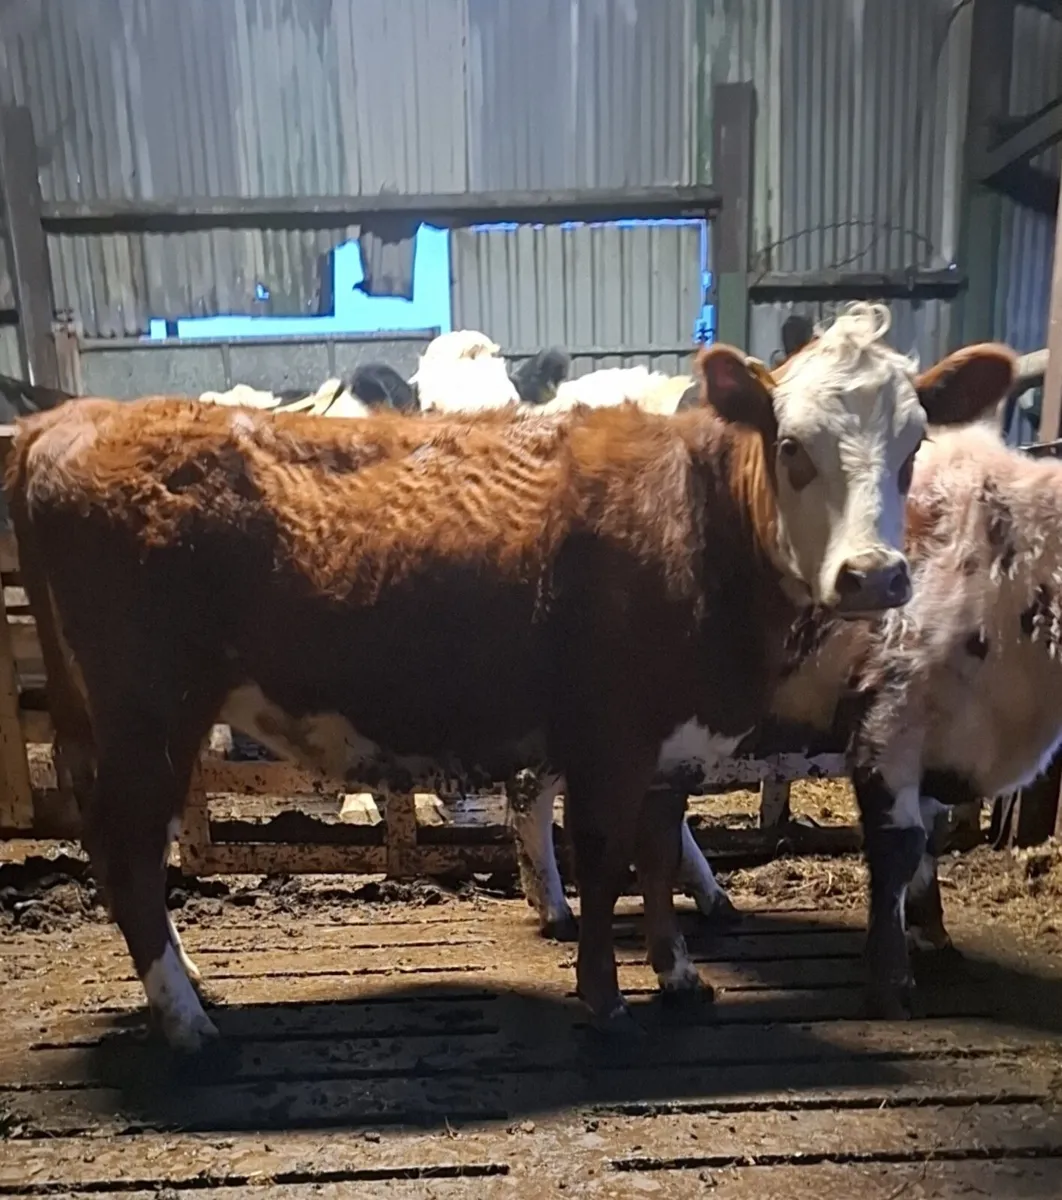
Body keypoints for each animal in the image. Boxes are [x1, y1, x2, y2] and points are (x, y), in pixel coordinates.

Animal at [6, 305, 1011, 1053]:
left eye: (915, 446)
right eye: (794, 445)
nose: (874, 576)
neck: (696, 523)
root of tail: (73, 417)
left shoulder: (672, 737)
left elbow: (657, 851)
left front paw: (679, 974)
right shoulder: (614, 731)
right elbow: (603, 859)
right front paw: (606, 998)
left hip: (102, 719)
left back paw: (188, 988)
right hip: (150, 714)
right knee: (130, 853)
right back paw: (186, 1018)